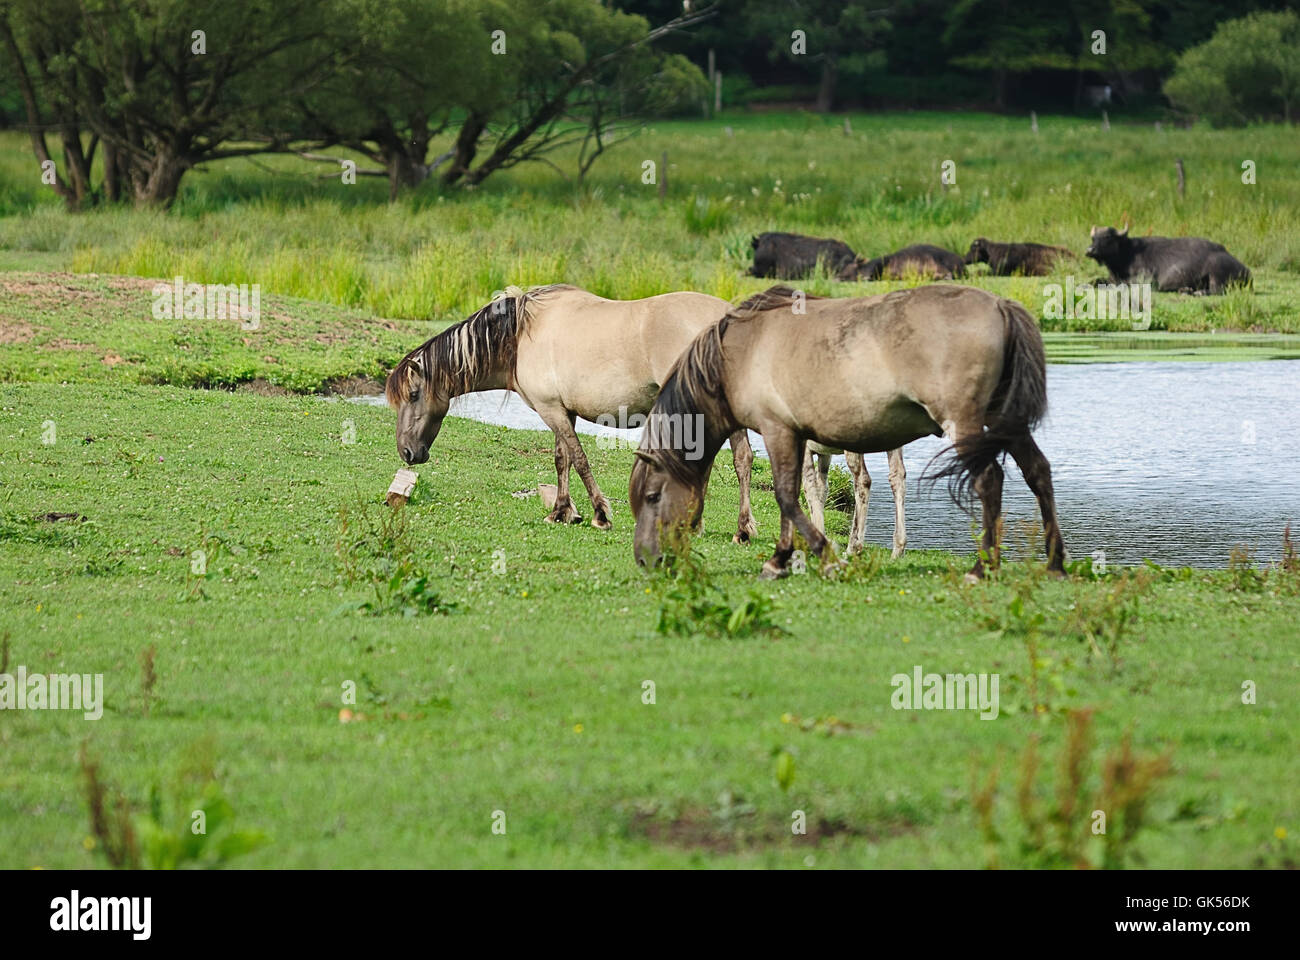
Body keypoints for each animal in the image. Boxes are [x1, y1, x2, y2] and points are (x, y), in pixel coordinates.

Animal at [386, 284, 759, 540]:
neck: (521, 336)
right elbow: (562, 459)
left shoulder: (550, 409)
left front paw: (600, 514)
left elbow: (579, 459)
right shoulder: (562, 410)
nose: (407, 452)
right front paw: (561, 512)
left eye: (414, 395)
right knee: (736, 459)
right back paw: (718, 527)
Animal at [629, 284, 1067, 580]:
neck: (739, 353)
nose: (646, 559)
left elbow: (787, 496)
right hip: (1003, 420)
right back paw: (1056, 563)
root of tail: (1000, 304)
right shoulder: (801, 439)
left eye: (653, 497)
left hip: (965, 423)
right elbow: (800, 496)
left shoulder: (778, 431)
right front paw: (784, 558)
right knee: (1038, 472)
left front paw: (821, 554)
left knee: (989, 480)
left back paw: (982, 566)